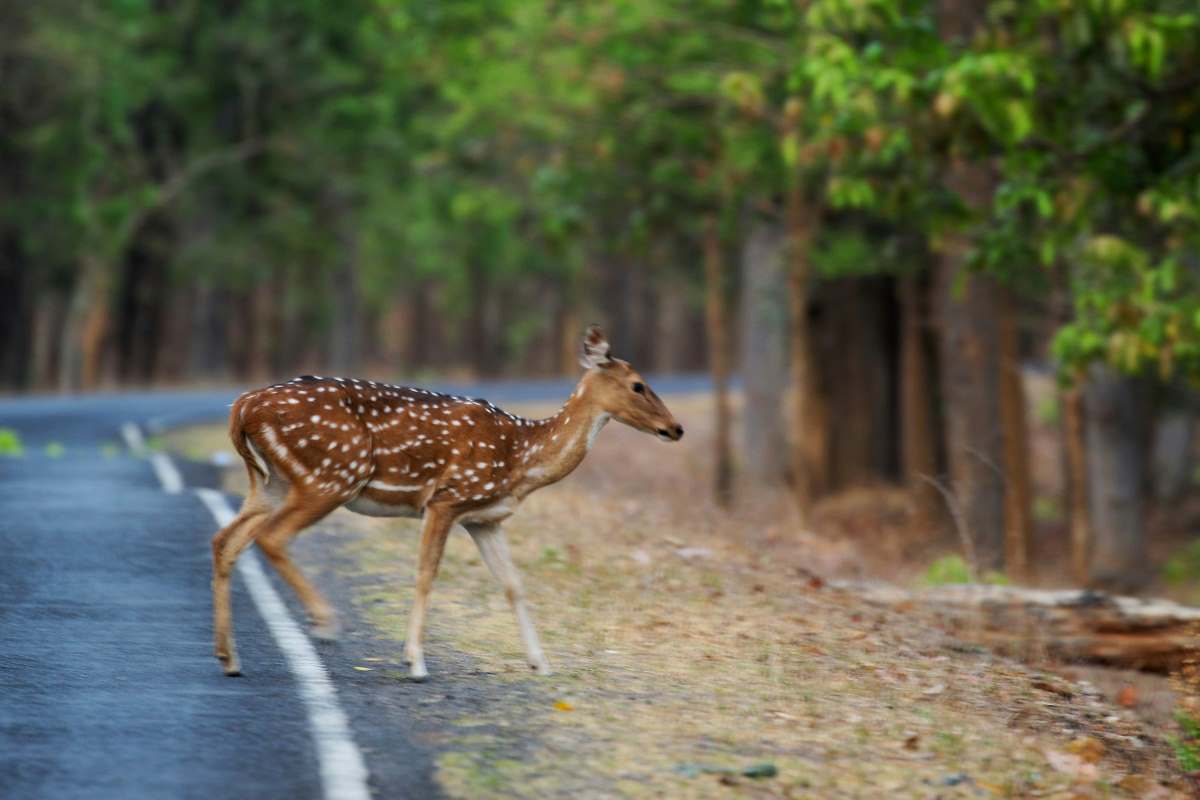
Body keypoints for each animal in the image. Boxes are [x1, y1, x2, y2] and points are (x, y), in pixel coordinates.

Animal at [213, 328, 686, 681]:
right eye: (638, 384)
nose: (676, 428)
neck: (521, 459)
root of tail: (242, 406)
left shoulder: (484, 519)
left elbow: (513, 584)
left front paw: (541, 662)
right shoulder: (446, 499)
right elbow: (426, 575)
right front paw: (415, 662)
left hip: (270, 482)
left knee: (226, 540)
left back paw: (229, 658)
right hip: (331, 475)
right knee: (272, 537)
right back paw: (326, 624)